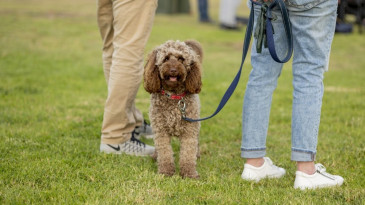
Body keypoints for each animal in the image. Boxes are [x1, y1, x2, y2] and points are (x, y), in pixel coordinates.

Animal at [144, 39, 202, 178]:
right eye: (166, 58)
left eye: (181, 59)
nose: (173, 70)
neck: (174, 96)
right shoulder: (160, 130)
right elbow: (164, 152)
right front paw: (166, 171)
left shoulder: (189, 130)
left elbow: (188, 153)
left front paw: (189, 173)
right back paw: (155, 156)